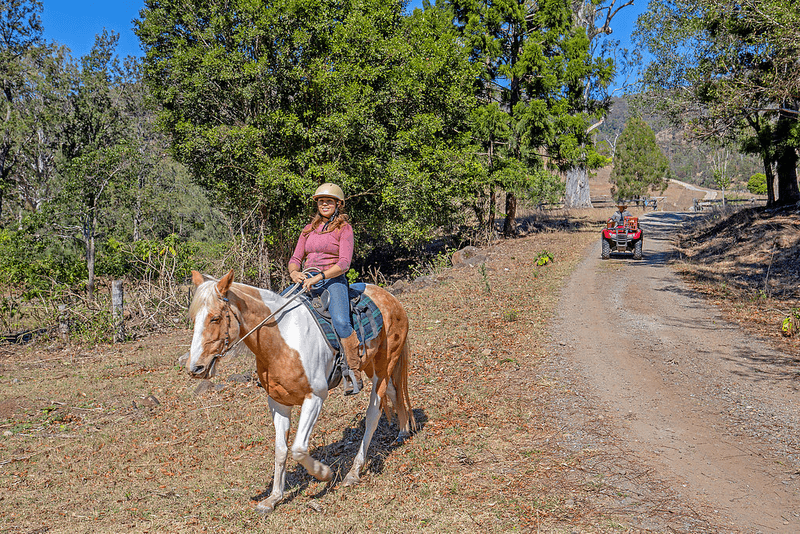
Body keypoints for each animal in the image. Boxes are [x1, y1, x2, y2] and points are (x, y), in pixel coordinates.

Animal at [185, 272, 416, 516]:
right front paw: (273, 498)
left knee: (373, 413)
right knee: (394, 391)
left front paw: (324, 473)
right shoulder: (277, 403)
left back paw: (354, 471)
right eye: (195, 319)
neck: (282, 341)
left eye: (215, 318)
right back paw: (403, 430)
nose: (195, 368)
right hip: (371, 367)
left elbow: (298, 449)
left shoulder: (314, 398)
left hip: (384, 365)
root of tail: (390, 298)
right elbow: (280, 450)